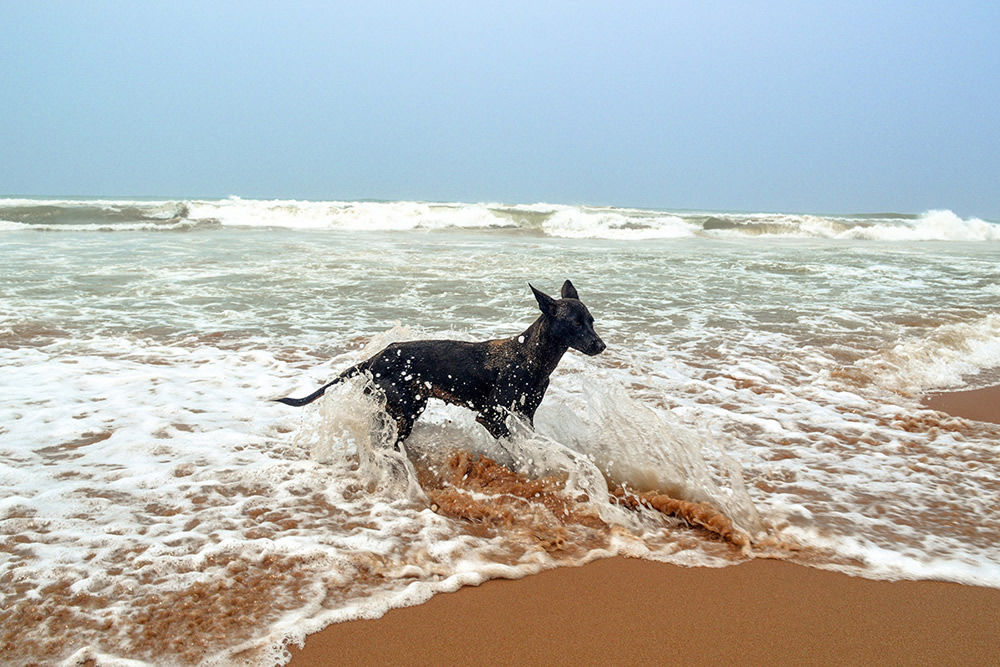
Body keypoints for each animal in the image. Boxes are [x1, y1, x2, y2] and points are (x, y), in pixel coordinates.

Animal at [274, 280, 604, 446]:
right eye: (575, 324)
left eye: (591, 321)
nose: (601, 345)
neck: (531, 357)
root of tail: (375, 358)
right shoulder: (491, 417)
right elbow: (518, 448)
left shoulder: (525, 415)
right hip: (406, 409)